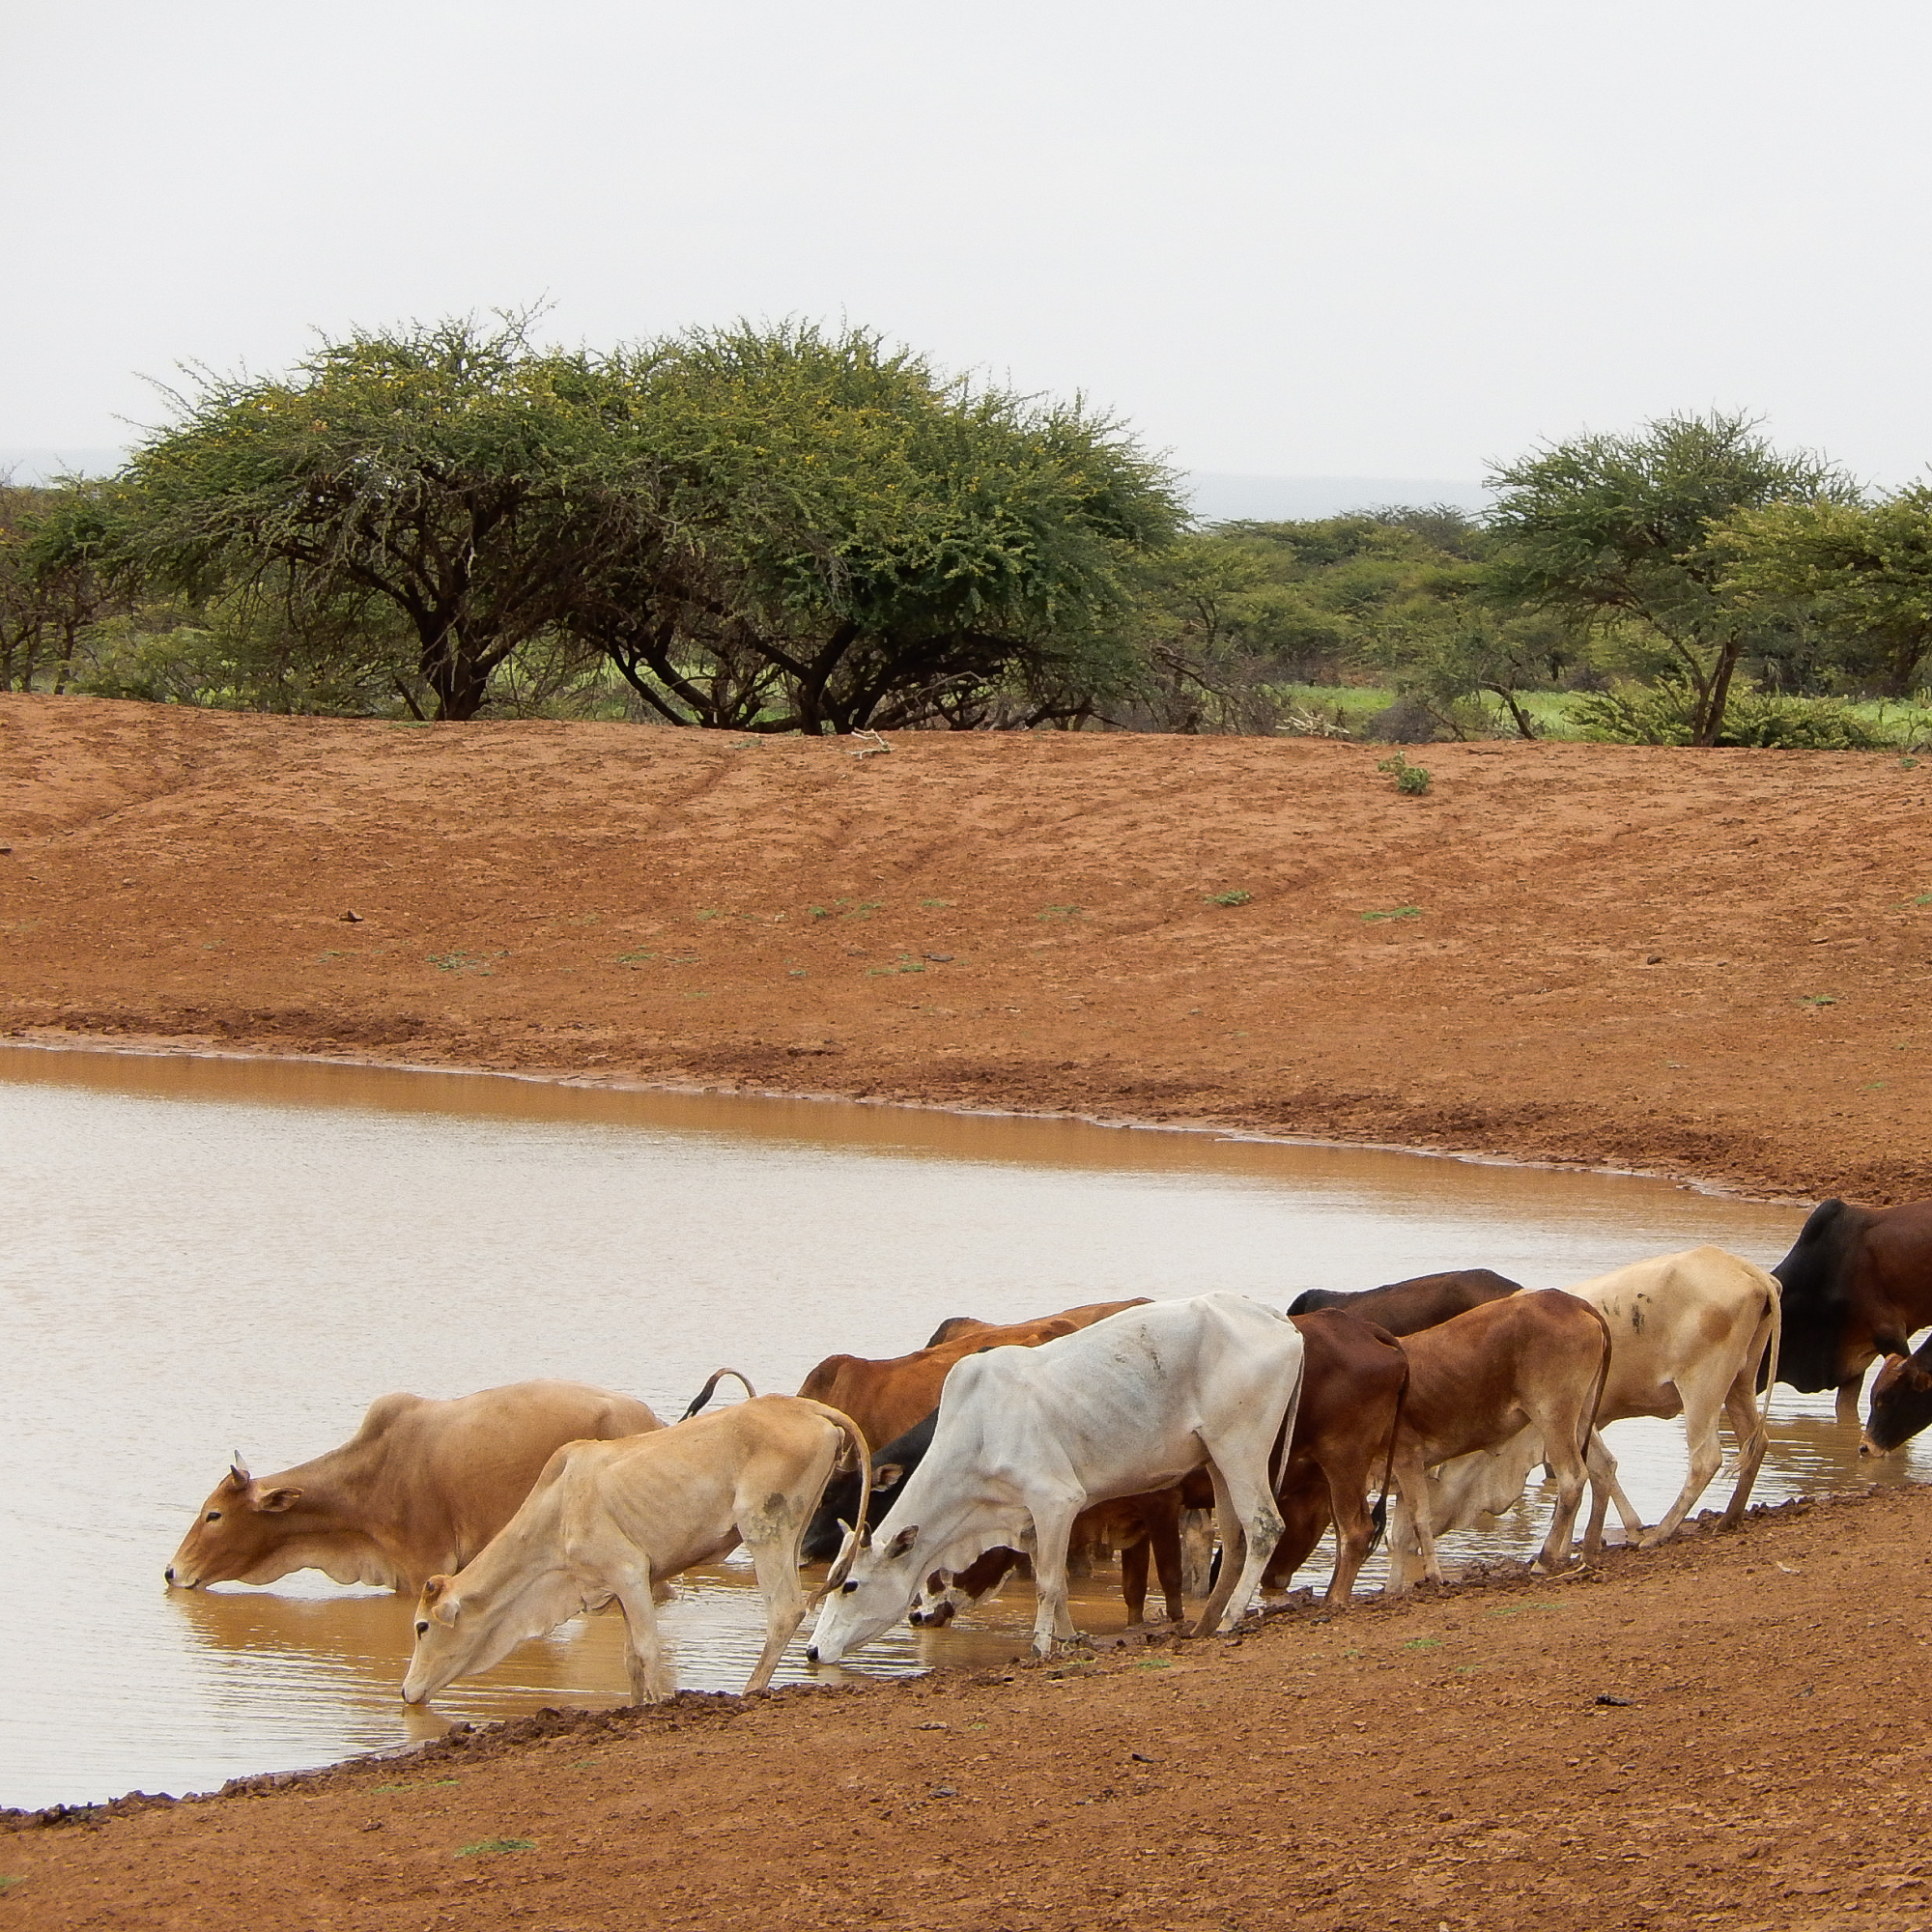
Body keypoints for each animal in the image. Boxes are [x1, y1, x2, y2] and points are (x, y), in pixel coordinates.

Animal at [401, 1394, 869, 1706]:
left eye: (422, 1627)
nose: (406, 1692)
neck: (557, 1513)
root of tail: (806, 1408)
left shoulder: (627, 1572)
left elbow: (647, 1650)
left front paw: (661, 1706)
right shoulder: (625, 1586)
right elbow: (629, 1658)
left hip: (764, 1530)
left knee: (784, 1609)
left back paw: (750, 1690)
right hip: (792, 1529)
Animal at [1380, 1290, 1612, 1594]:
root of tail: (1572, 1302)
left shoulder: (1406, 1458)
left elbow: (1417, 1521)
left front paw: (1433, 1576)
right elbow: (1399, 1535)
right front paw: (1392, 1589)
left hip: (1553, 1415)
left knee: (1572, 1477)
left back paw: (1544, 1560)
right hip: (1584, 1412)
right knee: (1603, 1466)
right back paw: (1589, 1552)